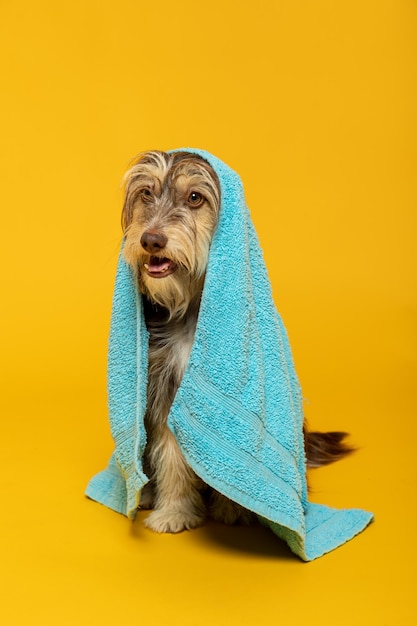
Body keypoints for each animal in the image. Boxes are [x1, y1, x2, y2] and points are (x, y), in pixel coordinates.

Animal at [120, 150, 352, 532]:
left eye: (194, 197)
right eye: (146, 193)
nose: (151, 240)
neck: (189, 306)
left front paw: (235, 509)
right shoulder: (165, 387)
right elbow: (171, 457)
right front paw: (174, 511)